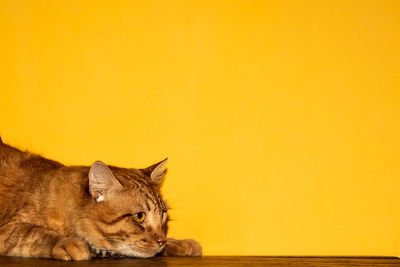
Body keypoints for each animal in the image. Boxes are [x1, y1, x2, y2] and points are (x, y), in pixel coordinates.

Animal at [0, 138, 200, 262]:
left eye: (163, 214)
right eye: (140, 217)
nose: (161, 242)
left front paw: (179, 243)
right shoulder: (7, 229)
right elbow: (35, 232)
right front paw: (68, 242)